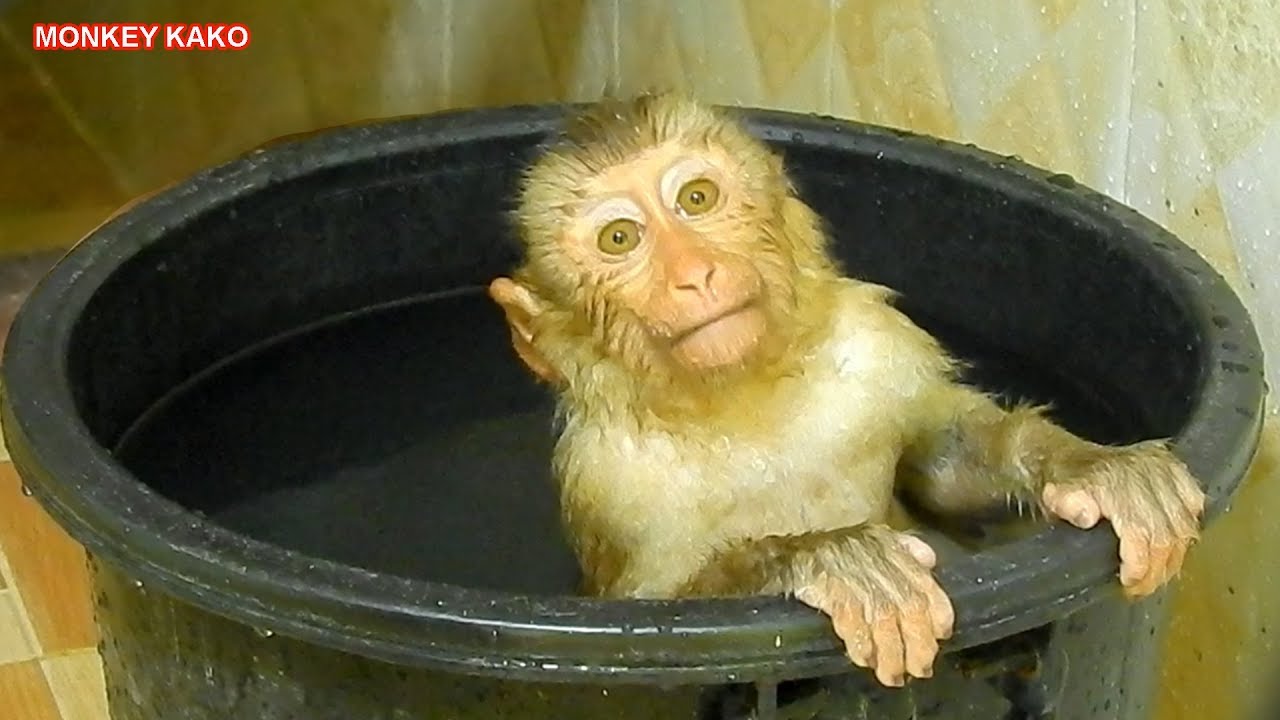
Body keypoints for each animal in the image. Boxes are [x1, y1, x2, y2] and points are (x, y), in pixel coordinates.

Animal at [487, 92, 1206, 688]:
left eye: (696, 199)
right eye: (619, 238)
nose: (696, 274)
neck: (745, 403)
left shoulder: (878, 344)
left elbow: (936, 465)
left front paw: (1090, 466)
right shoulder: (610, 479)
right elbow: (646, 616)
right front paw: (826, 559)